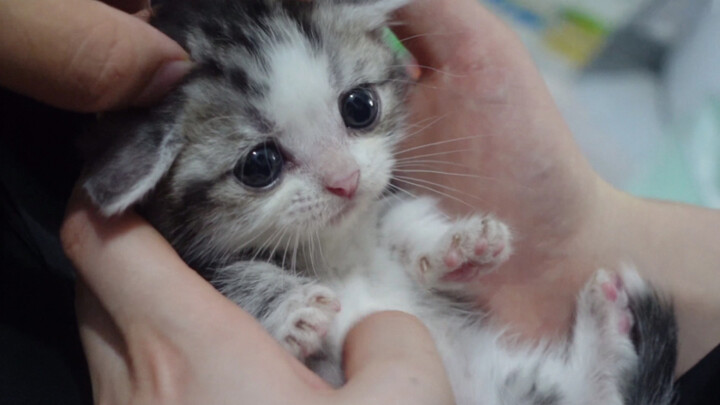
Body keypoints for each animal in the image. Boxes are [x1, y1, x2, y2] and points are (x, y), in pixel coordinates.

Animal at [81, 1, 676, 402]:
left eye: (359, 106)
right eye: (259, 165)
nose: (344, 181)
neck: (336, 250)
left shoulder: (383, 196)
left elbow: (398, 215)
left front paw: (459, 245)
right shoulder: (191, 253)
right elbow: (227, 275)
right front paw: (288, 307)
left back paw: (606, 324)